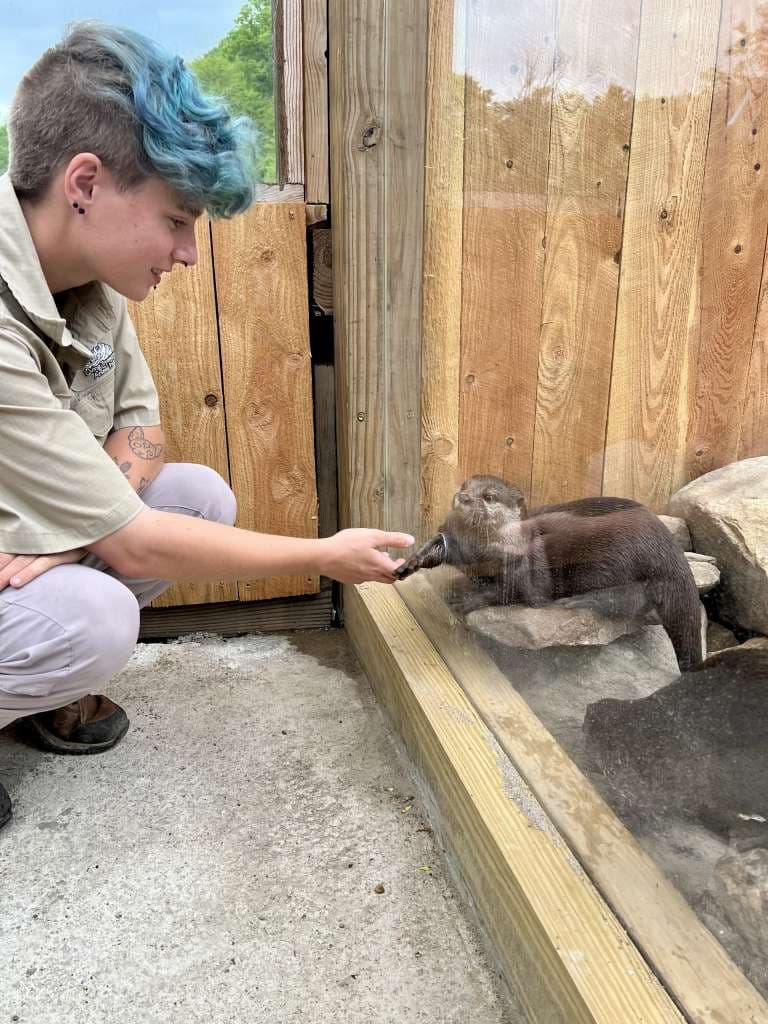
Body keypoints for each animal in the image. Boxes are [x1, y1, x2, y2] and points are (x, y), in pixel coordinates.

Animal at [394, 474, 703, 671]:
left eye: (489, 497)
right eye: (465, 484)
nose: (463, 497)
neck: (480, 551)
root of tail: (669, 549)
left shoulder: (523, 568)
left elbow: (510, 593)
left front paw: (470, 598)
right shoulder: (459, 547)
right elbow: (441, 547)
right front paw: (414, 560)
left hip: (617, 557)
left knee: (631, 599)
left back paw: (580, 600)